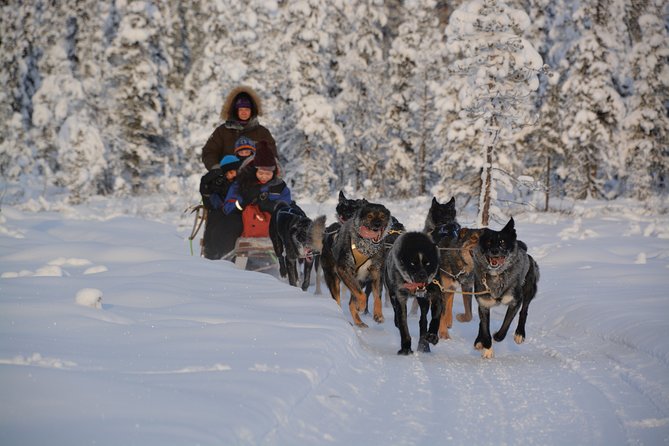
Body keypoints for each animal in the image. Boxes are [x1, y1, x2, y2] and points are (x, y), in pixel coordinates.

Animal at [470, 217, 536, 358]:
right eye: (489, 242)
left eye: (502, 242)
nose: (495, 251)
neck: (496, 276)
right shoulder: (483, 304)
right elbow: (485, 328)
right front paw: (487, 347)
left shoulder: (515, 302)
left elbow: (506, 324)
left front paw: (497, 336)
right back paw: (479, 341)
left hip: (529, 290)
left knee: (524, 311)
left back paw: (519, 333)